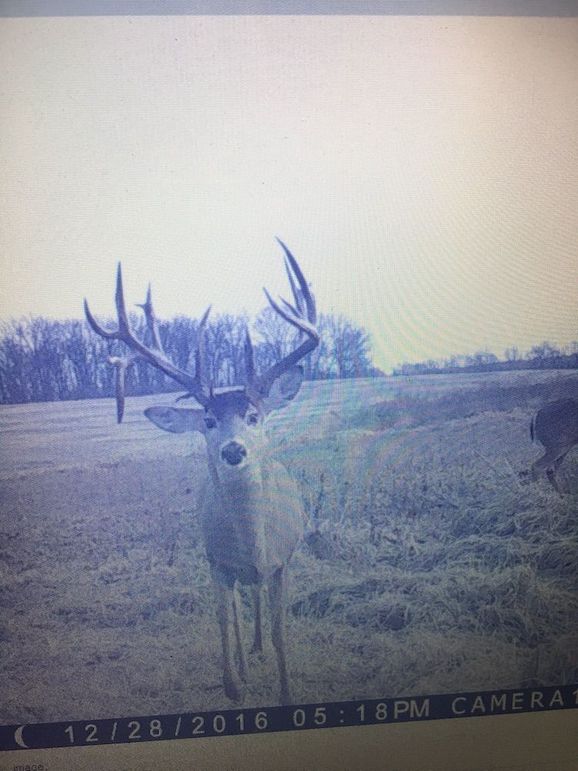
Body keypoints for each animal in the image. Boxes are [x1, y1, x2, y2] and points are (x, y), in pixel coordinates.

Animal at [84, 239, 320, 705]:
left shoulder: (283, 562)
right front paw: (234, 684)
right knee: (240, 609)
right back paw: (247, 660)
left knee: (256, 602)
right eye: (208, 420)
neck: (254, 545)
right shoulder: (217, 564)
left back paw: (258, 650)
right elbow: (224, 625)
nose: (233, 449)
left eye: (254, 416)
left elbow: (282, 634)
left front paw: (286, 691)